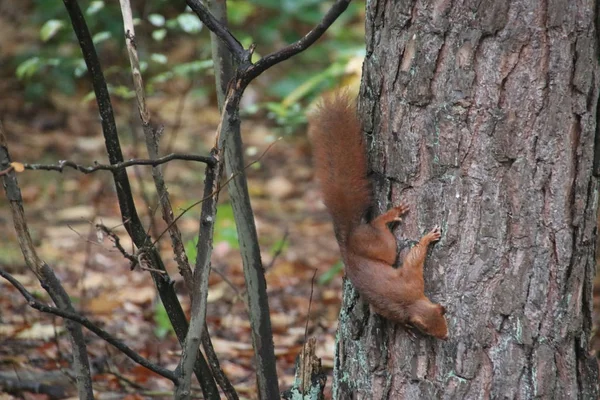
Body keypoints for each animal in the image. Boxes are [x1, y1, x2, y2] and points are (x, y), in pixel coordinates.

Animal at [310, 93, 450, 340]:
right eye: (432, 330)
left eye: (442, 316)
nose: (447, 336)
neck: (409, 303)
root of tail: (347, 244)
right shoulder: (412, 280)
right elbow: (414, 258)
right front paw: (428, 239)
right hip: (383, 246)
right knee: (379, 228)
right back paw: (391, 215)